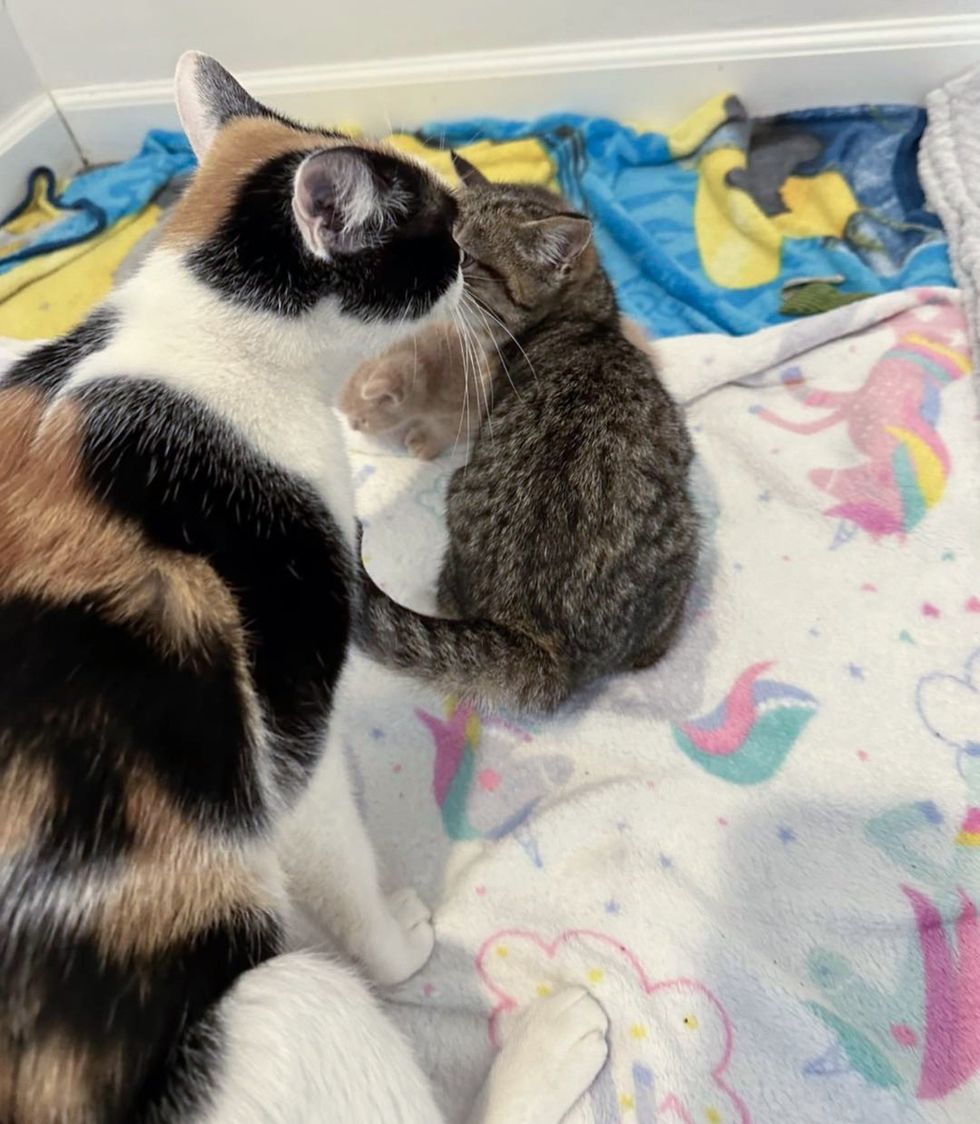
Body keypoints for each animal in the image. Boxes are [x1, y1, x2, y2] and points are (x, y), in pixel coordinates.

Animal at [0, 57, 606, 1124]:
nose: (470, 263)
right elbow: (343, 870)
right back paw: (549, 1049)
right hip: (289, 1004)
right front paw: (402, 939)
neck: (204, 351)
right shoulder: (286, 732)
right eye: (445, 239)